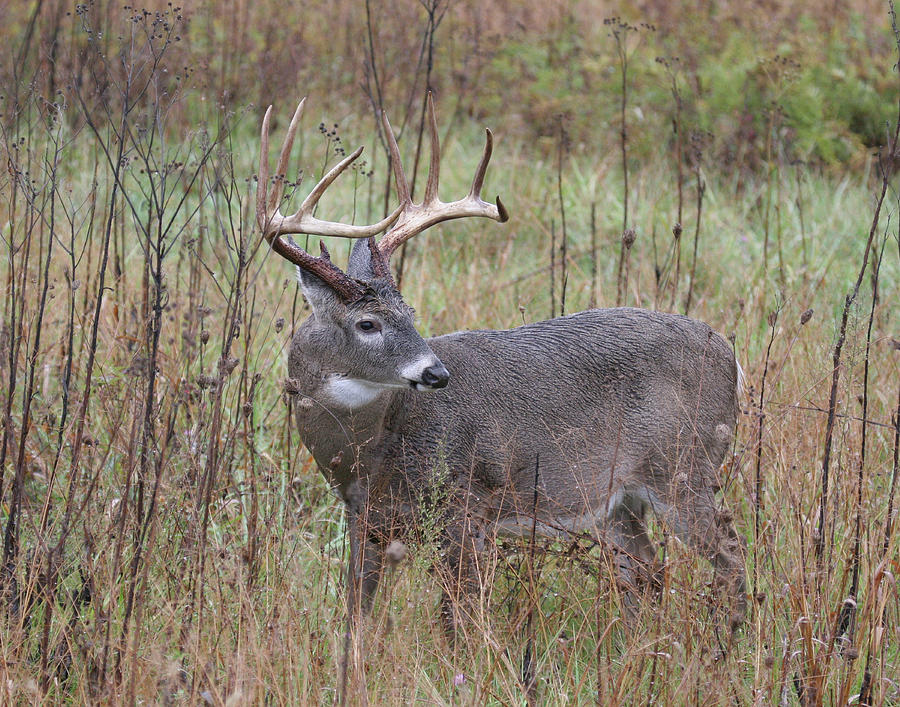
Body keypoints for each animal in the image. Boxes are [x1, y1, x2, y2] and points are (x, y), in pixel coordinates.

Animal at [256, 91, 748, 640]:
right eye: (368, 323)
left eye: (410, 313)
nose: (436, 374)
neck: (374, 447)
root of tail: (731, 357)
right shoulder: (366, 519)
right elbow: (356, 613)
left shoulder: (468, 504)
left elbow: (458, 615)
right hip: (618, 499)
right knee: (646, 569)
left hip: (684, 463)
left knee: (730, 555)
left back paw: (728, 641)